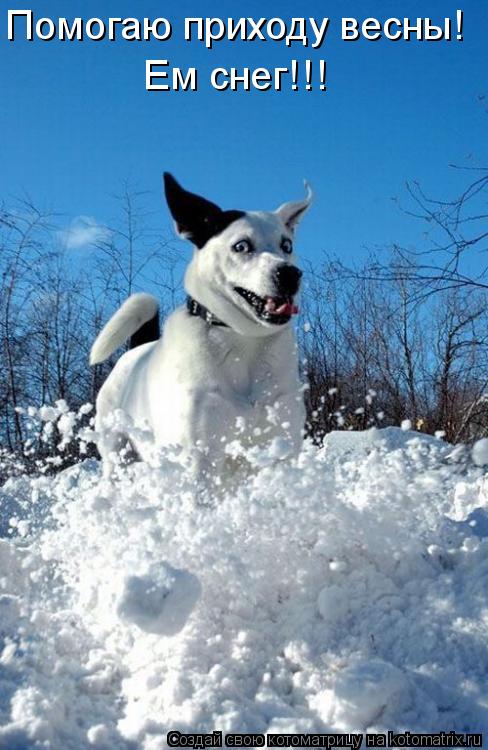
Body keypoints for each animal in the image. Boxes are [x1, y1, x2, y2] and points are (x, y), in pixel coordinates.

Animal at [90, 175, 312, 482]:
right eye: (241, 246)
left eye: (287, 245)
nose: (290, 274)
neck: (242, 340)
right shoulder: (199, 457)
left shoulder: (281, 448)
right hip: (116, 451)